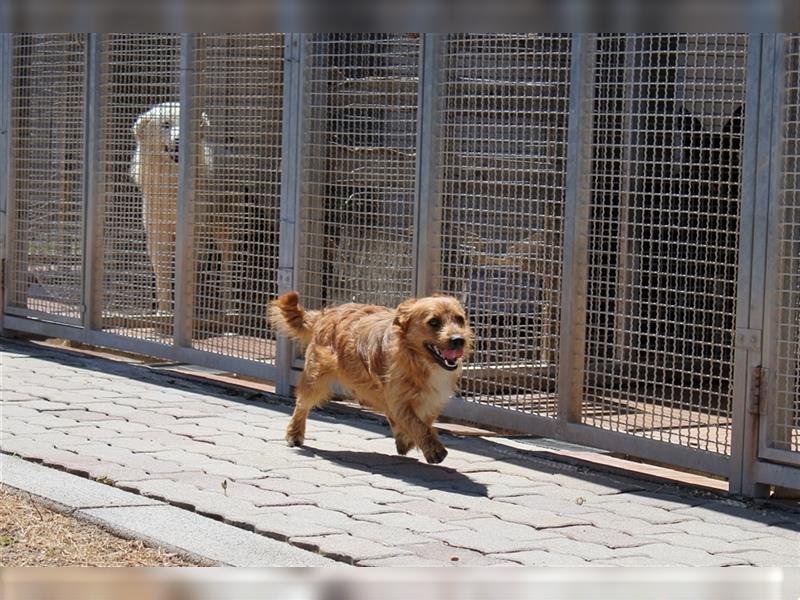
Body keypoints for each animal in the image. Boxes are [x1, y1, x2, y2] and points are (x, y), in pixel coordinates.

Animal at [272, 292, 472, 464]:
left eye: (460, 319)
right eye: (433, 322)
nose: (458, 340)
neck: (420, 361)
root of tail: (327, 313)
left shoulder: (431, 400)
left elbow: (423, 421)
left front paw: (405, 440)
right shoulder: (398, 400)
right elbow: (417, 424)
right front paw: (433, 449)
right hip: (316, 379)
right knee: (302, 404)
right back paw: (294, 433)